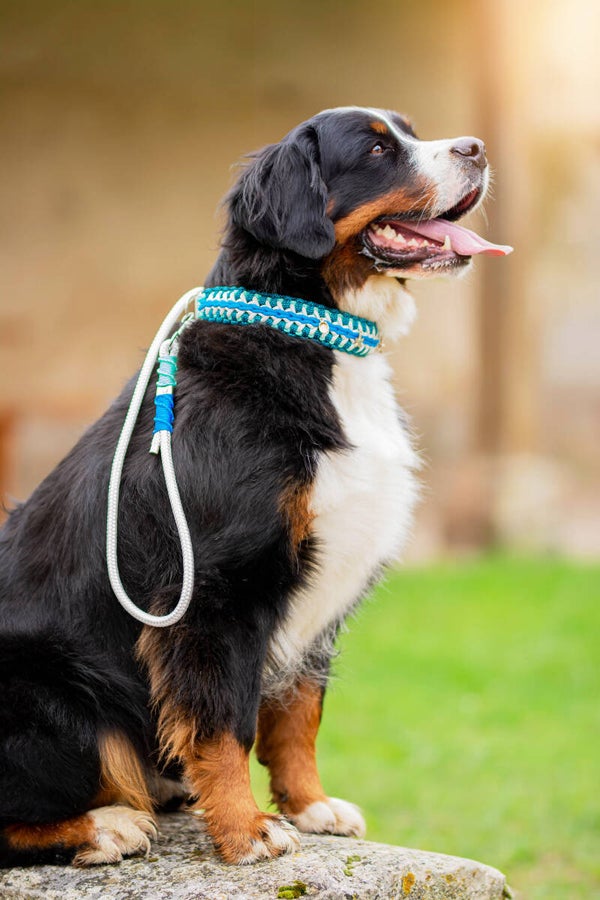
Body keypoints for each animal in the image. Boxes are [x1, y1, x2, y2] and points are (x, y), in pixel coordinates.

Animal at [0, 106, 509, 867]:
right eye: (376, 149)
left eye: (410, 131)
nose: (475, 148)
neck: (313, 340)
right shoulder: (216, 586)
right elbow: (223, 724)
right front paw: (246, 830)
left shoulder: (317, 594)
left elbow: (299, 713)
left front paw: (309, 805)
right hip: (56, 692)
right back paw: (106, 825)